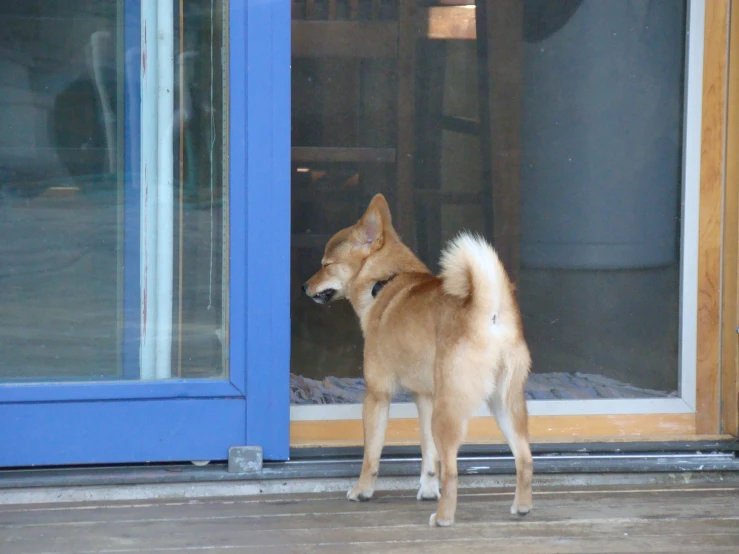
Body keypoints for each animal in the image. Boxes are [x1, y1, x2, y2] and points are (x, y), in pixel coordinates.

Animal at [304, 192, 536, 524]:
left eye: (327, 265)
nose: (304, 286)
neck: (385, 282)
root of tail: (489, 313)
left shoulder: (377, 396)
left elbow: (371, 455)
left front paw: (362, 491)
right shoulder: (424, 398)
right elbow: (428, 454)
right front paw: (427, 489)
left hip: (448, 412)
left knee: (452, 472)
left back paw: (443, 518)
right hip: (505, 406)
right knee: (525, 458)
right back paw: (522, 506)